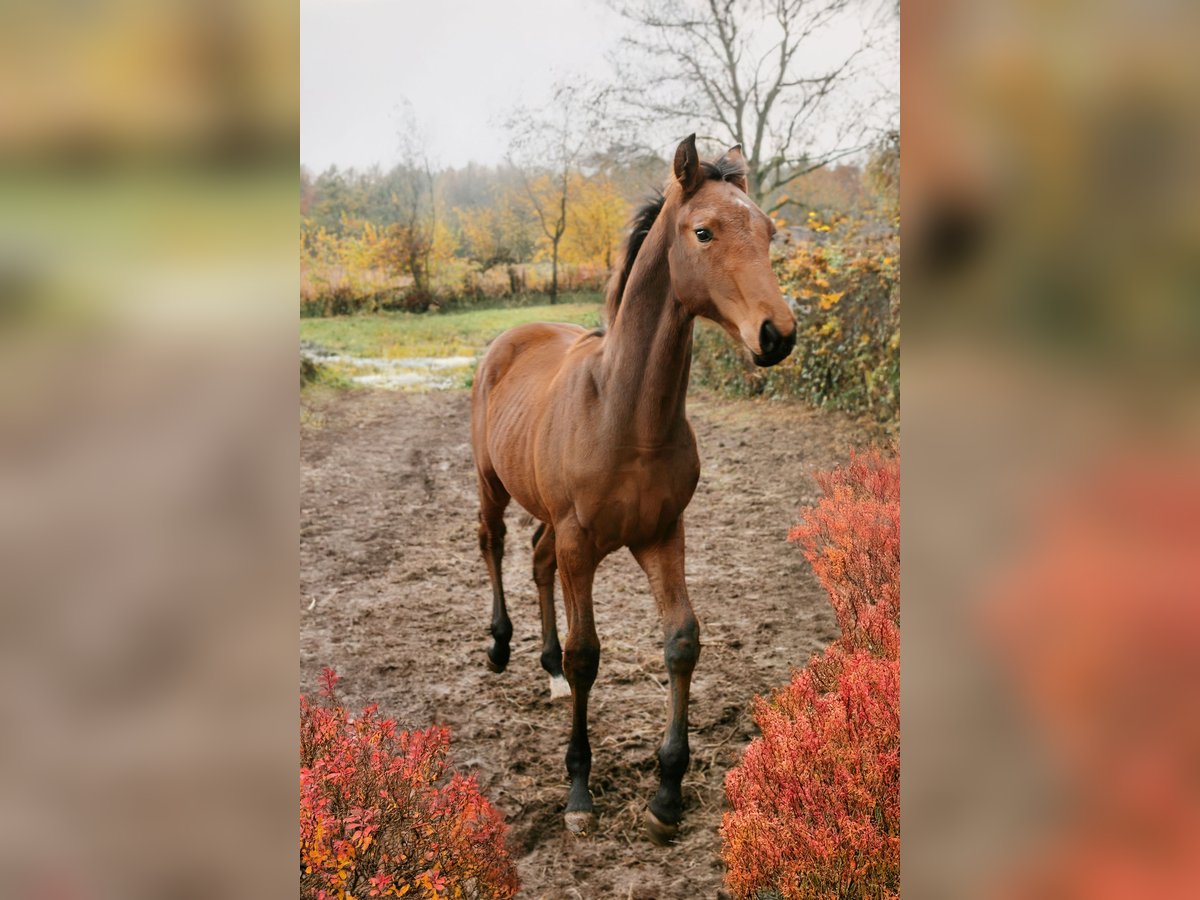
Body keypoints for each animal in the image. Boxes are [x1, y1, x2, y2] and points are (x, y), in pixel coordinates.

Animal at [468, 135, 796, 844]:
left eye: (768, 232)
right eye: (703, 231)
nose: (777, 334)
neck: (627, 417)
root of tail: (512, 335)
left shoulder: (662, 534)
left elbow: (682, 641)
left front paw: (667, 792)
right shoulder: (581, 542)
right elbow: (588, 654)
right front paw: (579, 791)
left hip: (552, 519)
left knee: (535, 559)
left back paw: (547, 671)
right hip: (492, 483)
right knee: (494, 542)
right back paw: (502, 646)